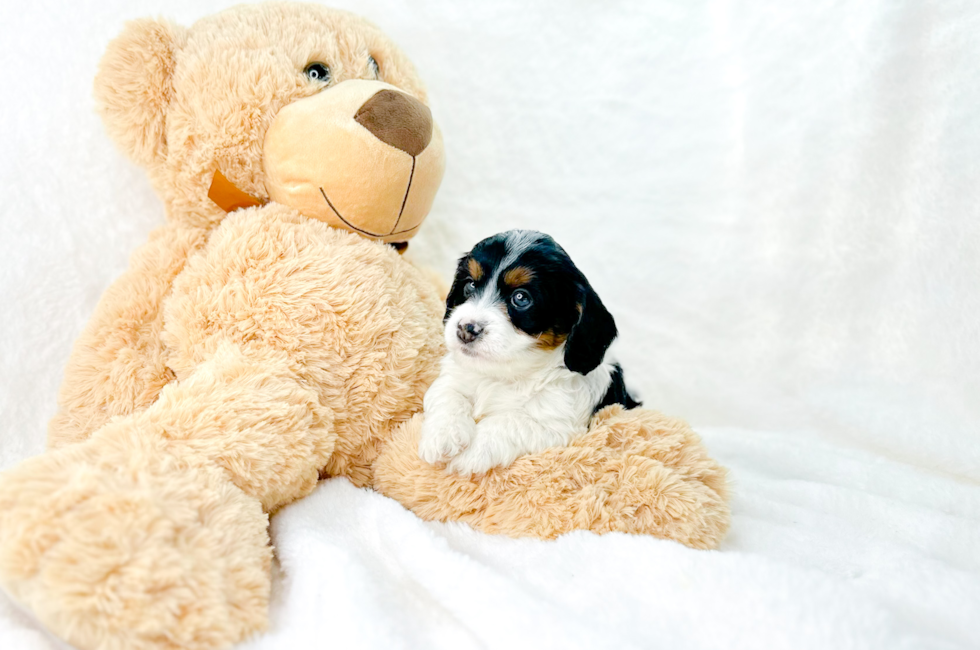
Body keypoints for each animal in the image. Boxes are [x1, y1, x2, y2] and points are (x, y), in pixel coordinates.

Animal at [418, 230, 640, 474]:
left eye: (521, 298)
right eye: (470, 286)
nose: (466, 330)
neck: (506, 374)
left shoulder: (556, 426)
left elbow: (508, 422)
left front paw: (472, 454)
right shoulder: (451, 379)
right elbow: (449, 397)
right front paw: (443, 435)